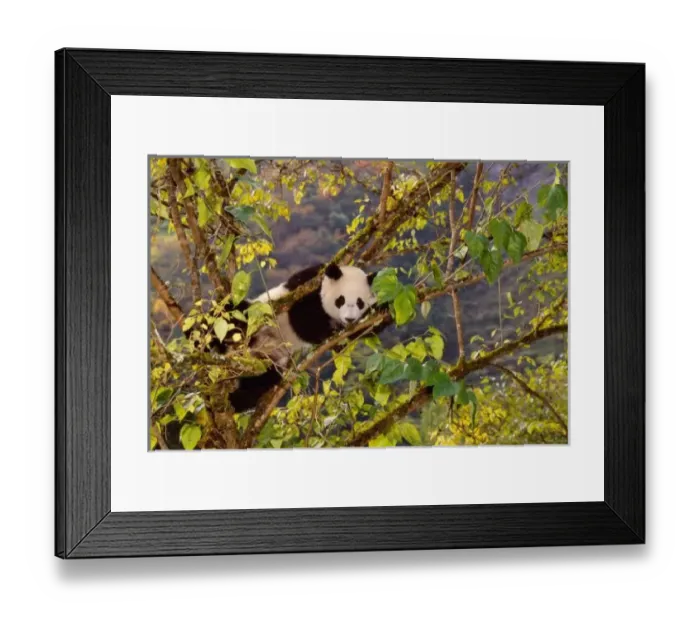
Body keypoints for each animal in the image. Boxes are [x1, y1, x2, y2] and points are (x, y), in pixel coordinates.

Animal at [224, 262, 380, 412]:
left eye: (360, 302)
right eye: (340, 300)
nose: (349, 319)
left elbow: (358, 333)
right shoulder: (305, 286)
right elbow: (302, 317)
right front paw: (324, 332)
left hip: (267, 363)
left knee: (260, 382)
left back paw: (238, 400)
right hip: (254, 315)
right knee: (235, 312)